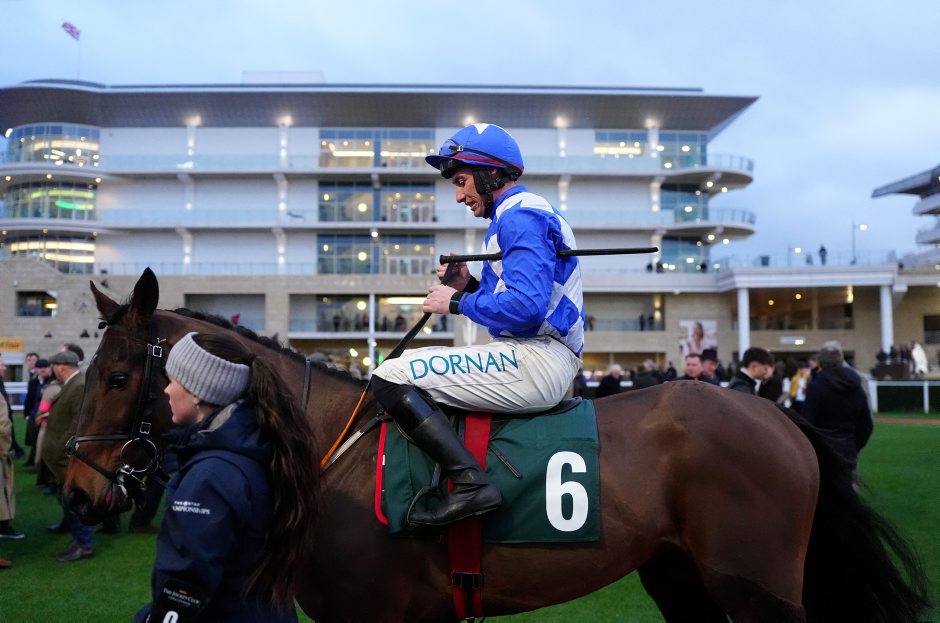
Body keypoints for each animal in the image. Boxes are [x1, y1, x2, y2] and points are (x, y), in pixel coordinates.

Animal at [64, 268, 931, 622]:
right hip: (678, 574)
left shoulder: (375, 615)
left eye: (116, 374)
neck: (330, 452)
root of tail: (778, 417)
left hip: (757, 588)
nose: (76, 487)